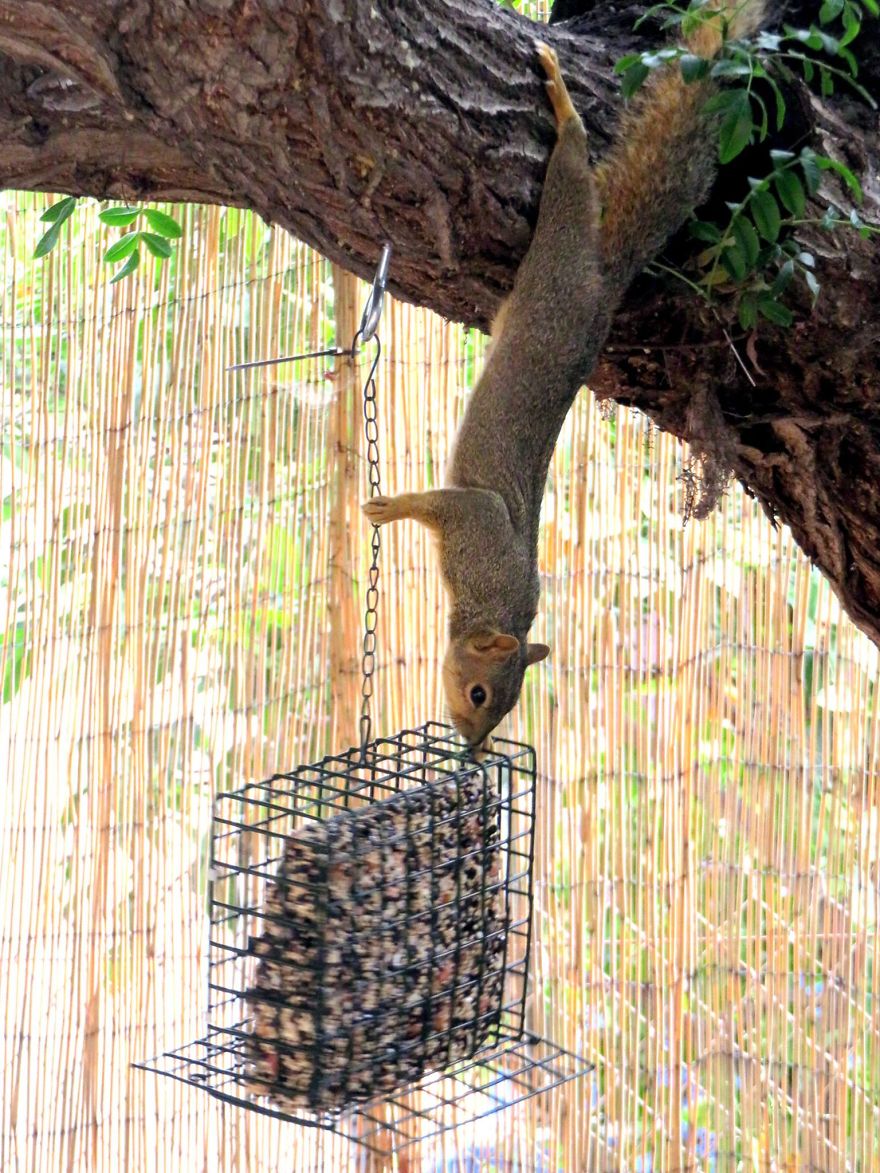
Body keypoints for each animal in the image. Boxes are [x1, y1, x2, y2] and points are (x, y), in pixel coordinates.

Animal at [363, 4, 764, 752]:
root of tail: (603, 286)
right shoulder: (476, 520)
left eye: (502, 707)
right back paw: (562, 101)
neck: (493, 600)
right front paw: (390, 507)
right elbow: (440, 502)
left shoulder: (473, 527)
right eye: (480, 692)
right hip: (560, 249)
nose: (473, 750)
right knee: (571, 176)